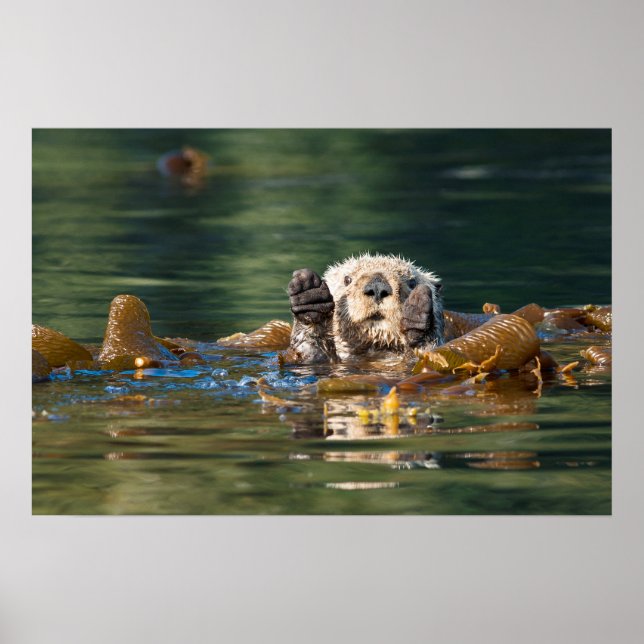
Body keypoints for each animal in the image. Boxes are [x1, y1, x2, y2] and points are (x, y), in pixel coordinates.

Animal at [286, 253, 444, 363]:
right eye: (347, 279)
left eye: (412, 282)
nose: (377, 287)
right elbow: (310, 350)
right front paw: (309, 295)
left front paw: (417, 315)